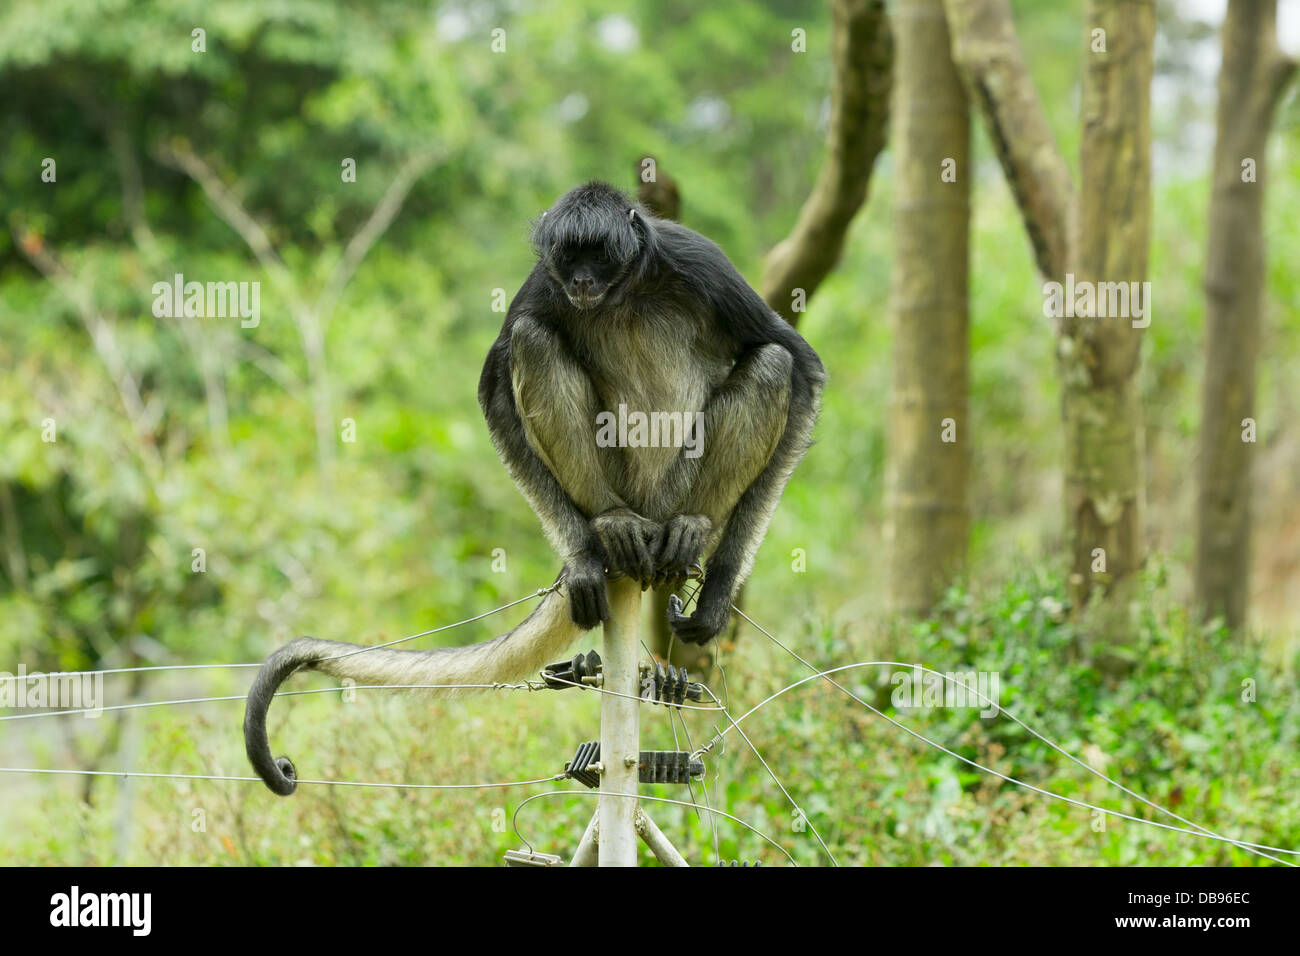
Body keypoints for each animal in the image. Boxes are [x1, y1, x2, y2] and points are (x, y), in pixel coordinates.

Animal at [244, 183, 821, 796]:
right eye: (569, 258)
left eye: (600, 256)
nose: (582, 282)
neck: (624, 295)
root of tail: (648, 515)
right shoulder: (543, 282)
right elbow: (496, 391)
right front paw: (583, 559)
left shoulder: (696, 259)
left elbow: (802, 365)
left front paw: (719, 587)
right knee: (531, 339)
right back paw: (607, 529)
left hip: (677, 488)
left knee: (773, 362)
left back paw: (690, 529)